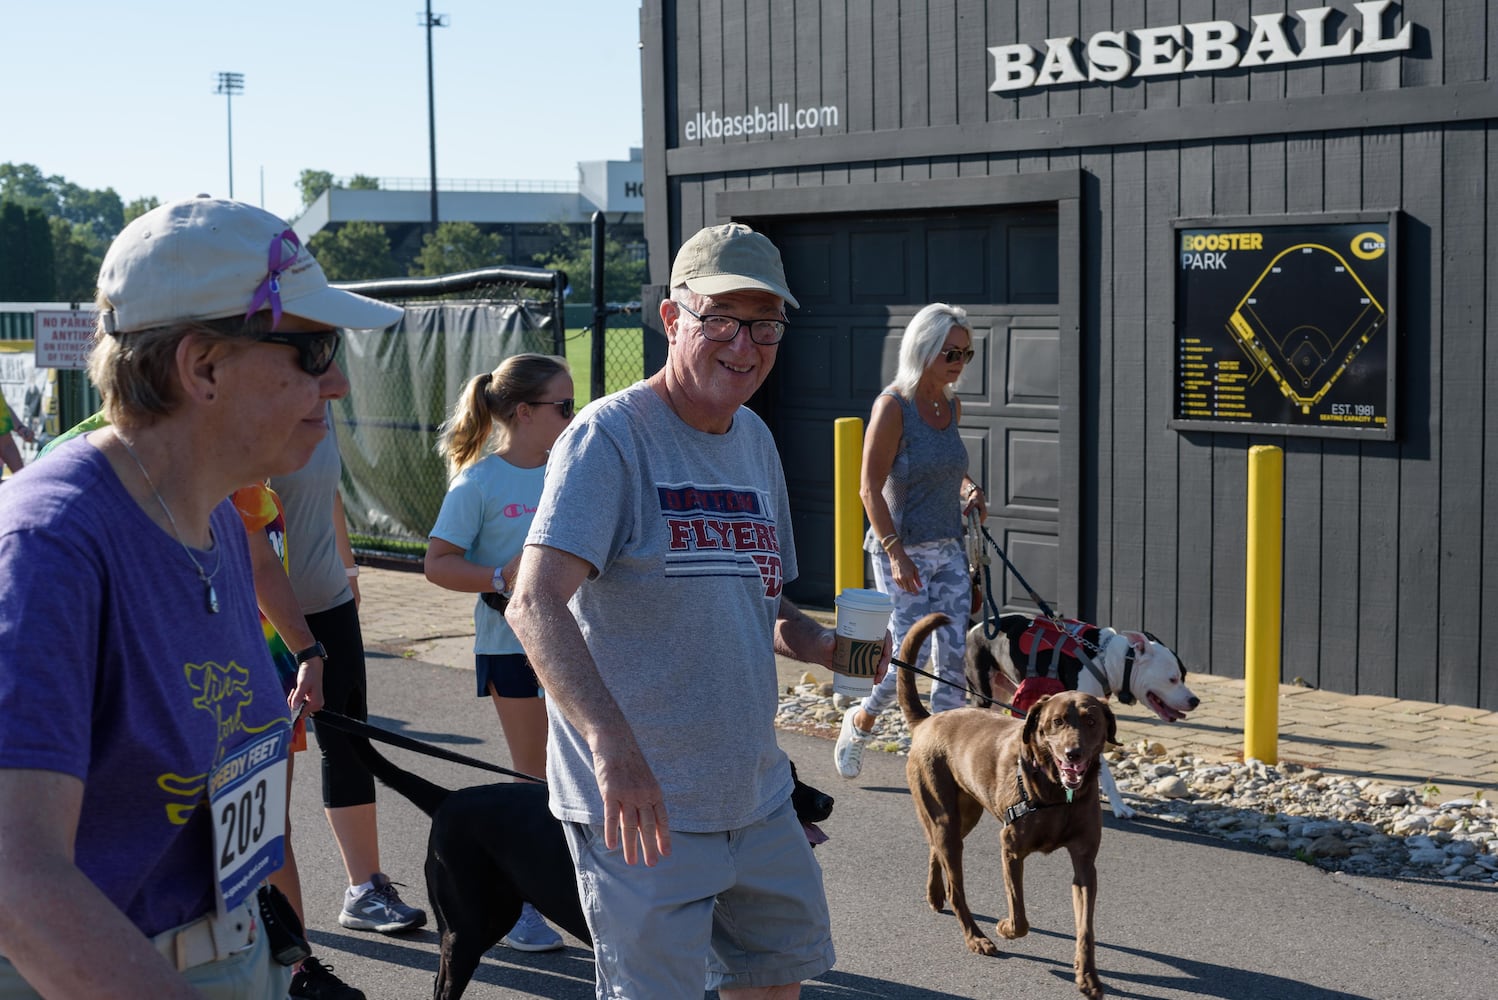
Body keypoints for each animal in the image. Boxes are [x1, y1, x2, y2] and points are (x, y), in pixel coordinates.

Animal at [892, 613, 1120, 994]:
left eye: (1091, 721)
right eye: (1056, 722)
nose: (1073, 754)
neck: (1057, 794)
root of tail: (928, 721)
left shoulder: (1085, 863)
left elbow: (1085, 927)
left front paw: (1087, 975)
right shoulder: (1010, 848)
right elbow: (1020, 917)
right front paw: (1004, 928)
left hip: (964, 813)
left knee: (935, 849)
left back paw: (935, 894)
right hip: (944, 813)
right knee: (956, 885)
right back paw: (976, 937)